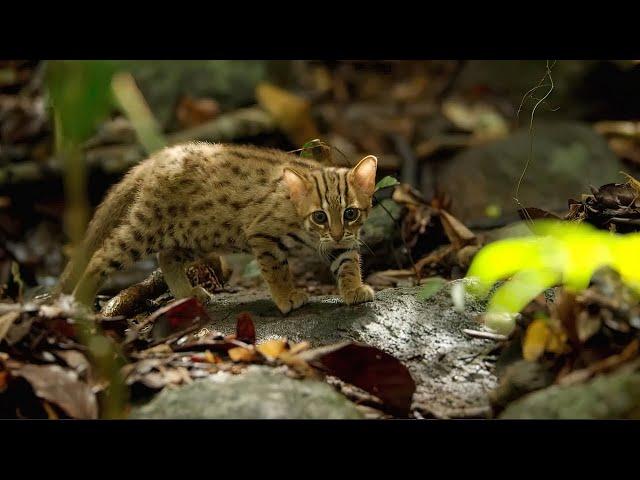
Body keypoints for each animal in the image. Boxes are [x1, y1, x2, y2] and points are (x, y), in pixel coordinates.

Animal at [60, 142, 378, 314]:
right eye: (320, 217)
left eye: (350, 213)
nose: (335, 232)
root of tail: (160, 156)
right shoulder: (262, 234)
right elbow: (277, 270)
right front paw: (287, 296)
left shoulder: (343, 241)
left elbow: (348, 261)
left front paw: (353, 289)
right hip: (147, 229)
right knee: (101, 256)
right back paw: (79, 302)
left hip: (197, 234)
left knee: (166, 257)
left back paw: (187, 293)